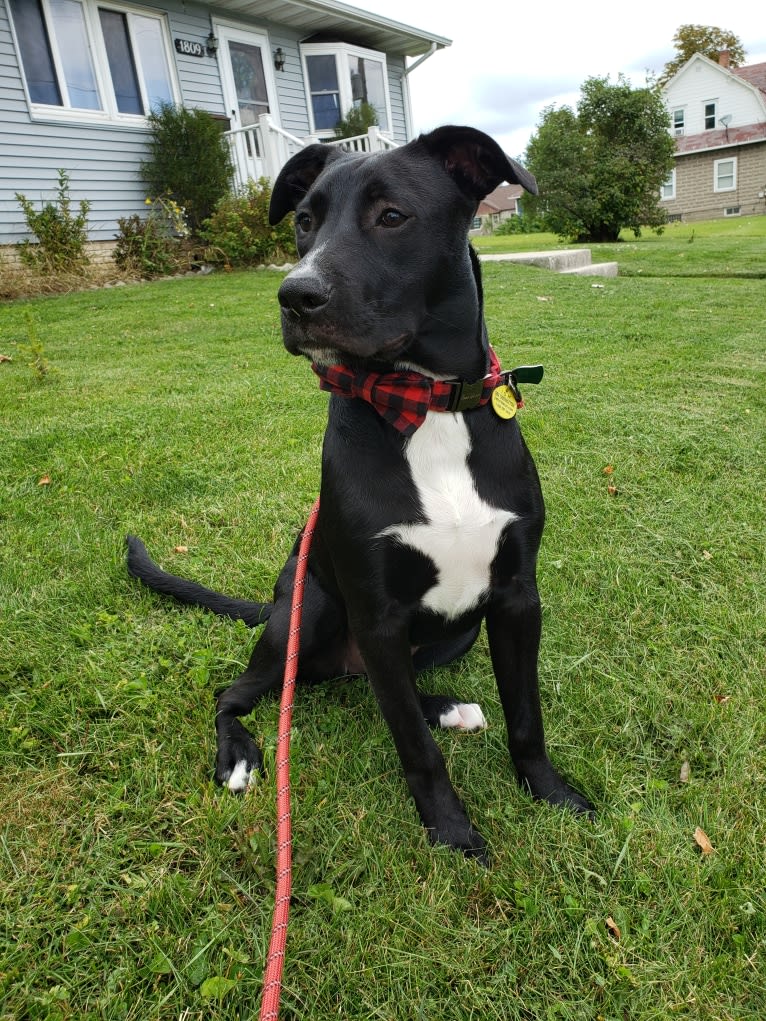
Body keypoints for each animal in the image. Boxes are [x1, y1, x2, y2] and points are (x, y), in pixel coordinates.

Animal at [127, 127, 592, 861]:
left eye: (392, 215)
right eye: (303, 222)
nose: (295, 296)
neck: (425, 406)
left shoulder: (518, 596)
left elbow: (526, 714)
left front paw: (549, 791)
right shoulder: (376, 613)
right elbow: (416, 749)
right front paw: (451, 831)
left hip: (457, 629)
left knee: (376, 688)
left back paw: (449, 707)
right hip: (307, 612)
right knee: (242, 692)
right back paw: (240, 755)